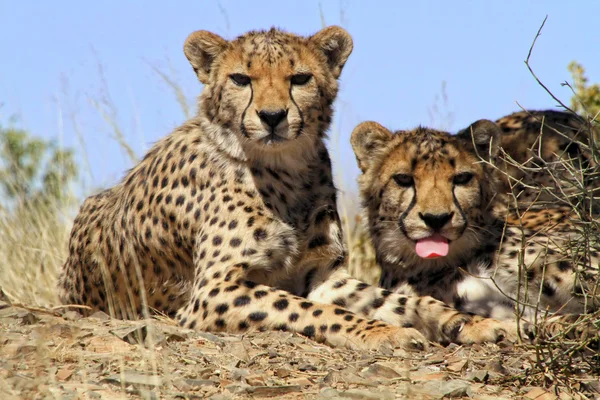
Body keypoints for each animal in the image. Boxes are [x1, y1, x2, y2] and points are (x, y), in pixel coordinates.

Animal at [57, 25, 510, 350]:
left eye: (300, 78)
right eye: (241, 79)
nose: (272, 116)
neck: (284, 169)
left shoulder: (325, 275)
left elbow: (400, 299)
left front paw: (466, 321)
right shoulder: (213, 292)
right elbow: (307, 309)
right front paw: (382, 332)